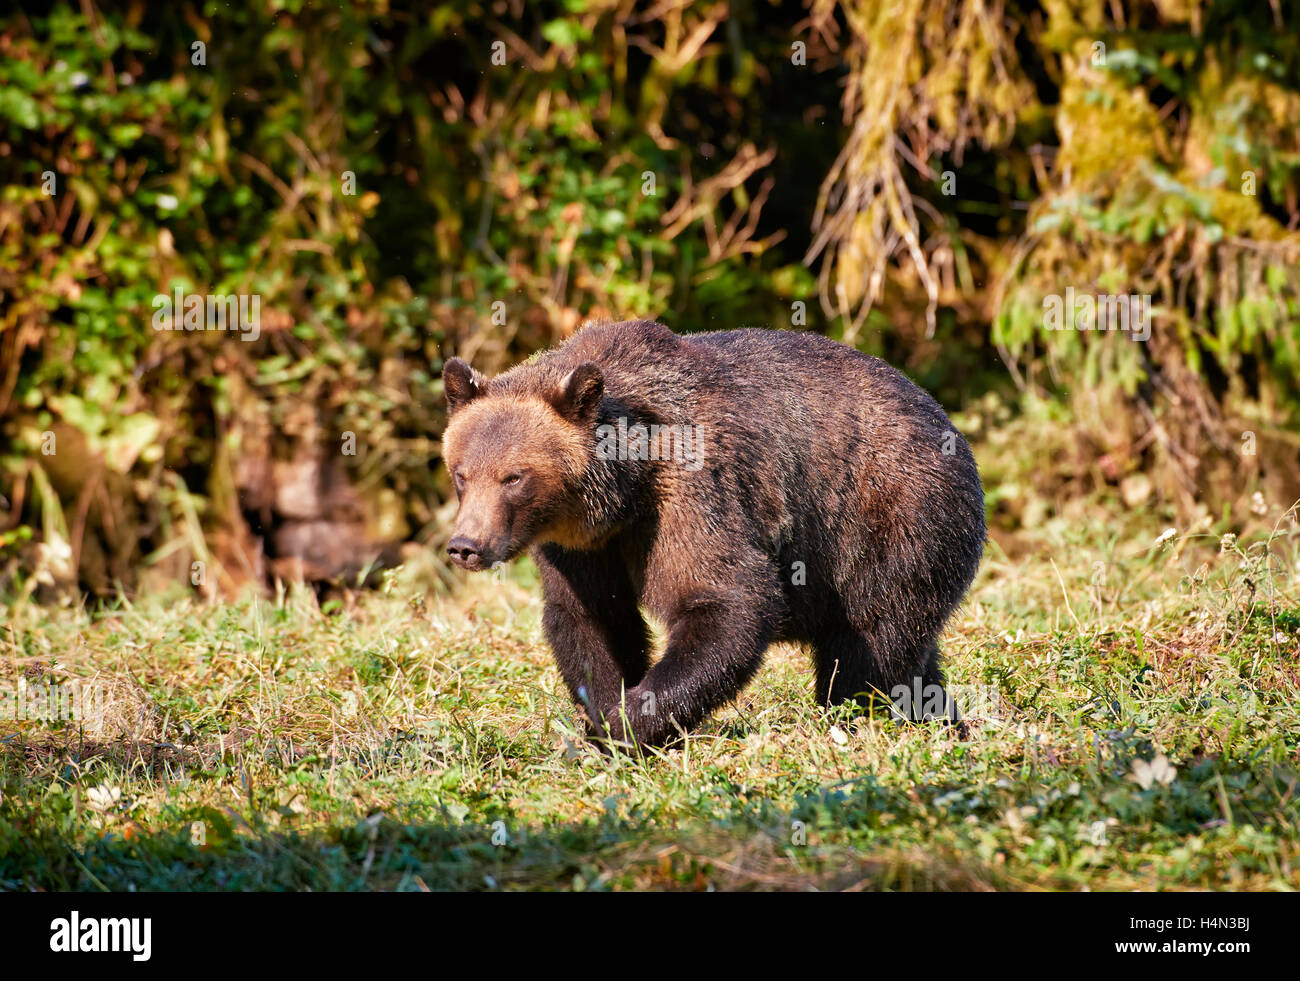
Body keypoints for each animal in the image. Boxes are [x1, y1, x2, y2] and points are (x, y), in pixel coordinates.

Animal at [441, 318, 977, 748]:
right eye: (461, 473)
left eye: (514, 477)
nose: (466, 546)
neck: (625, 492)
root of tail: (945, 419)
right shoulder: (580, 546)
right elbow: (591, 620)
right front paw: (604, 721)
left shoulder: (691, 494)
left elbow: (726, 599)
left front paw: (629, 726)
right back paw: (942, 719)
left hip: (890, 517)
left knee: (871, 637)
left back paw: (855, 717)